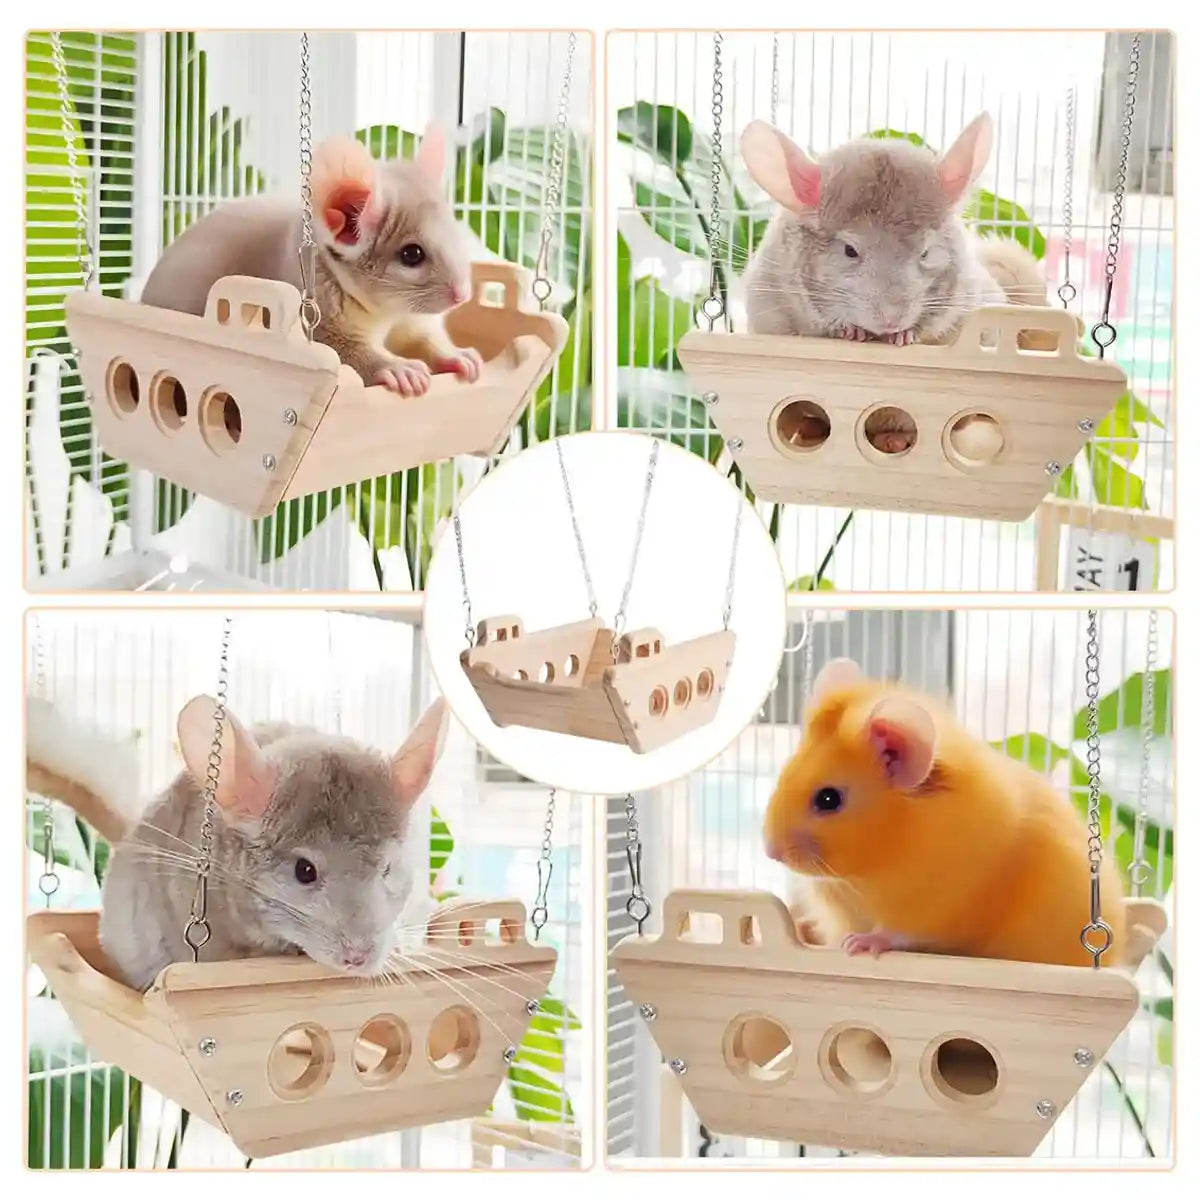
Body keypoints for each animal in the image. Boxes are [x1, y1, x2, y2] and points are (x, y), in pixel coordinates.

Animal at [139, 124, 479, 398]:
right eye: (411, 255)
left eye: (456, 231)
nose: (463, 295)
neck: (385, 313)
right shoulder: (328, 330)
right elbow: (355, 354)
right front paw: (403, 371)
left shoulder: (412, 321)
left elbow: (427, 338)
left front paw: (463, 358)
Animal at [740, 114, 1049, 454]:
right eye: (850, 250)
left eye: (926, 252)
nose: (891, 320)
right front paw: (852, 331)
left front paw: (902, 336)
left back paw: (894, 441)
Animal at [762, 658, 1126, 969]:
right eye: (784, 773)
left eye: (828, 799)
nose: (770, 852)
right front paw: (809, 927)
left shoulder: (940, 907)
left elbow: (897, 932)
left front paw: (858, 944)